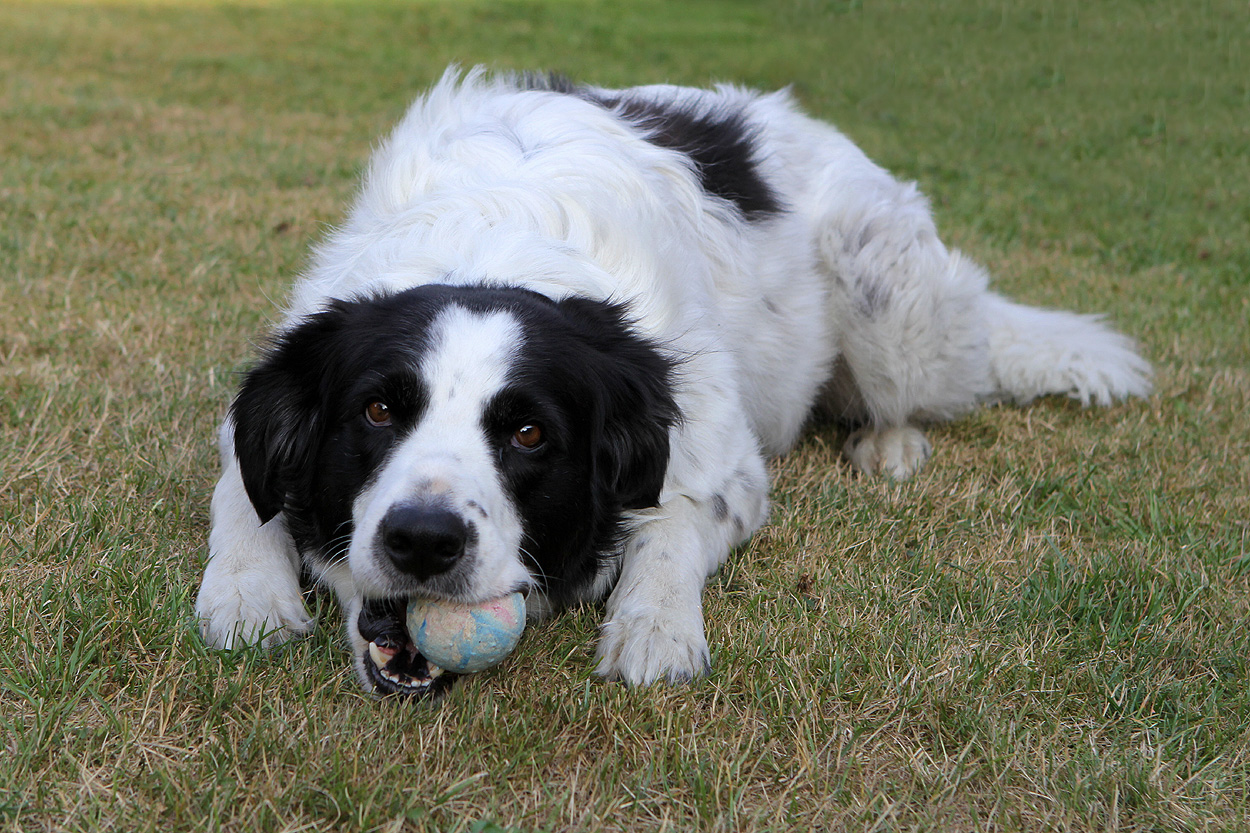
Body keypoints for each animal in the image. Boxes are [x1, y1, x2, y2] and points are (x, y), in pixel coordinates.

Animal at [195, 66, 1150, 695]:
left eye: (528, 433)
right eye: (378, 410)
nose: (424, 540)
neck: (486, 245)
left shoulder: (716, 451)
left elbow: (673, 525)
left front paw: (654, 626)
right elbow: (242, 488)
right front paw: (247, 590)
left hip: (889, 293)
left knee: (945, 371)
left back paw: (890, 442)